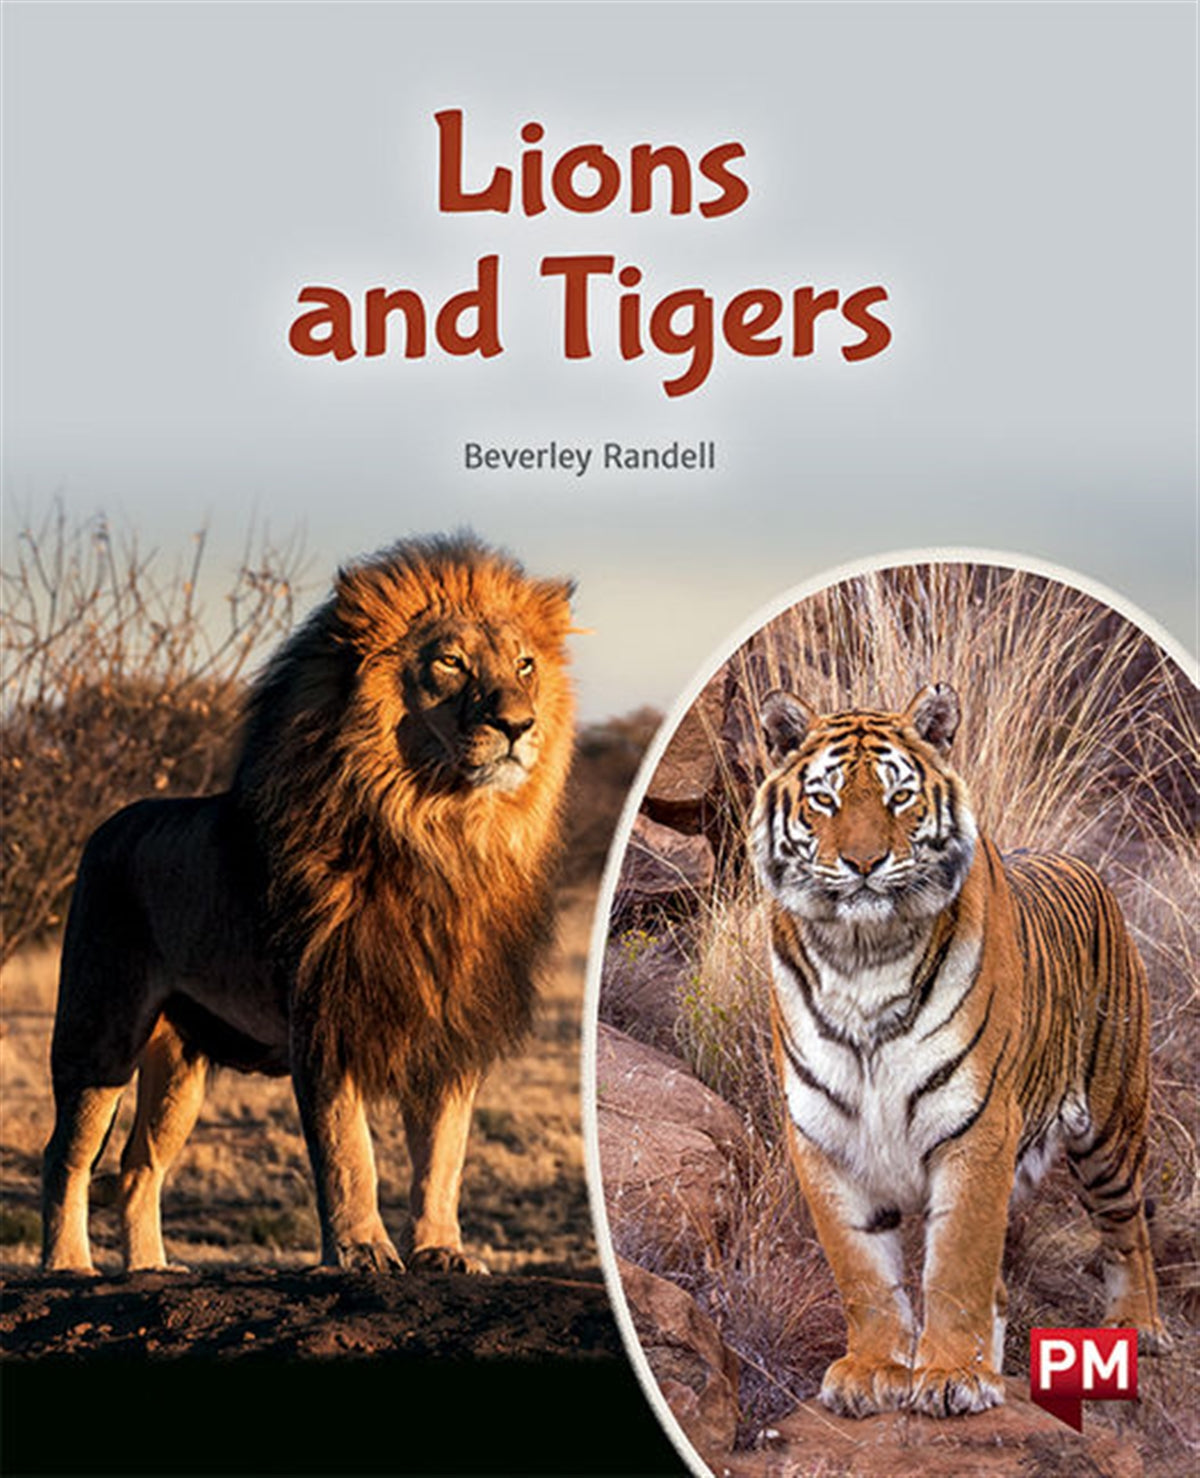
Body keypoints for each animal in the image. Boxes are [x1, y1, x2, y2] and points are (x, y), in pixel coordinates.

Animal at [41, 533, 576, 1275]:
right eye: (450, 662)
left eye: (525, 665)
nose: (518, 724)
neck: (440, 834)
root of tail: (107, 825)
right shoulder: (324, 1016)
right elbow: (349, 1151)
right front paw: (361, 1251)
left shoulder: (451, 1028)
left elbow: (443, 1155)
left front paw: (441, 1250)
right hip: (100, 1032)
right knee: (66, 1154)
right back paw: (67, 1264)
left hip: (180, 1064)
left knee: (138, 1165)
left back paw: (150, 1268)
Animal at [748, 683, 1168, 1419]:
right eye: (824, 799)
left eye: (899, 797)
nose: (863, 864)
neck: (862, 959)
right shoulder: (826, 1140)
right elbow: (864, 1273)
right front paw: (873, 1370)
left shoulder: (978, 1128)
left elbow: (957, 1265)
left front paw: (950, 1376)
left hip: (1112, 1127)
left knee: (1128, 1230)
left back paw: (1138, 1328)